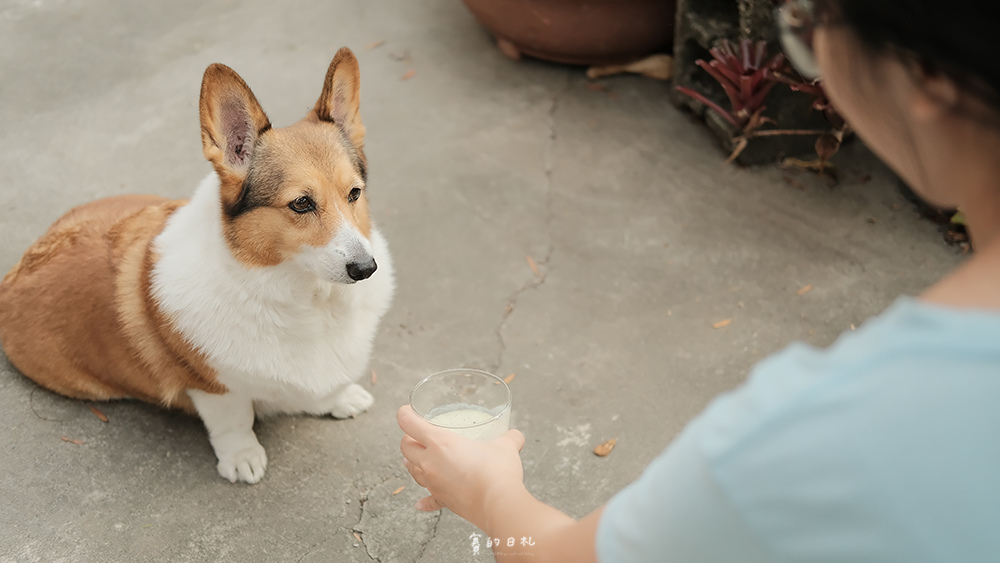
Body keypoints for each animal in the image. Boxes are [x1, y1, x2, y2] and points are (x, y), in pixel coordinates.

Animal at [0, 47, 394, 484]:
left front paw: (340, 397)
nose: (366, 269)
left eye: (354, 193)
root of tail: (13, 273)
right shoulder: (212, 386)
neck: (305, 297)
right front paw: (242, 457)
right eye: (301, 203)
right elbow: (233, 420)